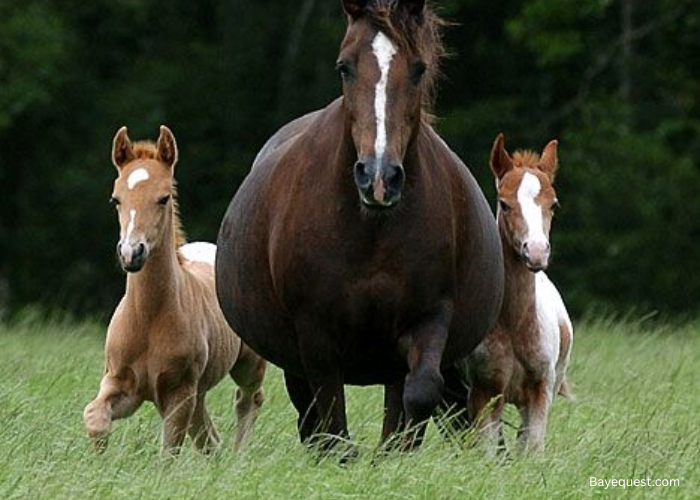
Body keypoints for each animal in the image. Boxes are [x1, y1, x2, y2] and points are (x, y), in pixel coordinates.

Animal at [83, 126, 266, 454]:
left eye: (164, 198)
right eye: (116, 199)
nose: (131, 253)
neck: (149, 316)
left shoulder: (179, 393)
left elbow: (169, 450)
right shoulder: (122, 383)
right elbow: (94, 418)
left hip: (248, 365)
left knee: (248, 400)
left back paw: (239, 456)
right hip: (199, 391)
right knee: (209, 436)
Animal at [215, 0, 504, 454]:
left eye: (418, 68)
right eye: (344, 66)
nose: (379, 177)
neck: (372, 232)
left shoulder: (427, 319)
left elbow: (419, 395)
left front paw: (391, 458)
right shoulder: (315, 336)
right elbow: (332, 424)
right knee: (312, 420)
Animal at [464, 133, 573, 454]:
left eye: (554, 205)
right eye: (505, 203)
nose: (535, 252)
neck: (515, 325)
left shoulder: (540, 391)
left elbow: (532, 449)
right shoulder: (485, 391)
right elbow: (487, 449)